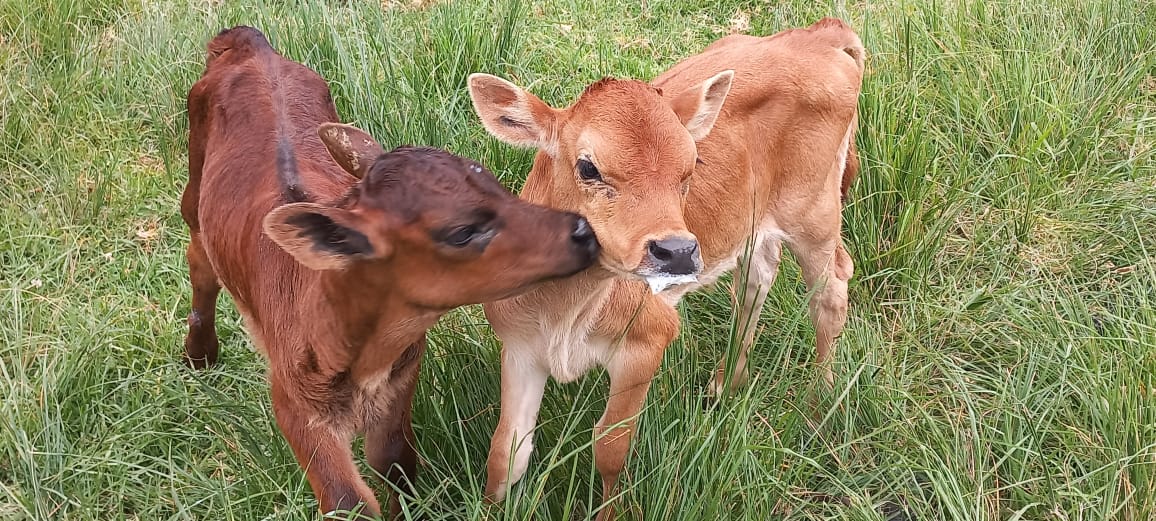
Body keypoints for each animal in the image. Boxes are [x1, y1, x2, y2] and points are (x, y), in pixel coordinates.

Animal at [181, 26, 600, 519]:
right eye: (462, 232)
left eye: (498, 184)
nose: (582, 230)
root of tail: (250, 43)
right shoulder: (294, 404)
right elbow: (346, 501)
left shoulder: (399, 383)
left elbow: (396, 463)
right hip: (194, 192)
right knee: (199, 265)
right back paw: (200, 354)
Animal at [466, 18, 865, 519]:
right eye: (588, 168)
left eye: (691, 165)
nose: (677, 251)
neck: (562, 314)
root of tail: (819, 33)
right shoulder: (520, 346)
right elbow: (506, 452)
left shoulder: (646, 338)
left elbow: (611, 445)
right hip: (754, 221)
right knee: (758, 277)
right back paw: (724, 384)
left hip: (813, 211)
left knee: (831, 288)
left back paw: (819, 401)